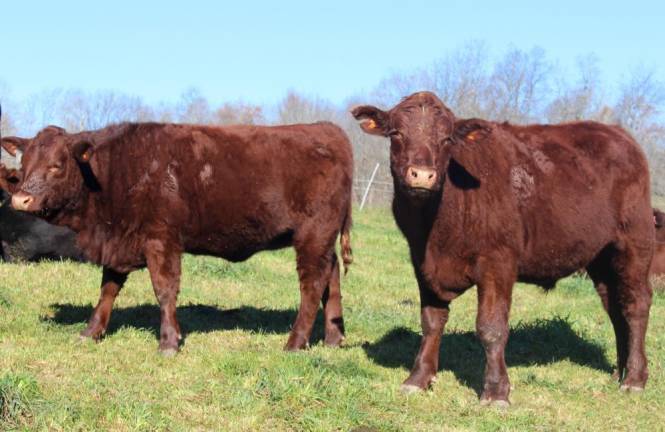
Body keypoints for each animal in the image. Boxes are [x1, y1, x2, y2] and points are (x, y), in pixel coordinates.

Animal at [2, 120, 352, 354]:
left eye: (57, 165)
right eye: (24, 162)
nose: (20, 199)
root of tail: (327, 128)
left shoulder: (162, 240)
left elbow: (165, 290)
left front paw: (169, 342)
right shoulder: (120, 242)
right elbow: (108, 289)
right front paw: (91, 332)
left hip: (313, 236)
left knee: (312, 285)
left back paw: (295, 342)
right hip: (322, 241)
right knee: (331, 277)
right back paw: (333, 339)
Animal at [352, 90, 652, 404]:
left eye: (447, 139)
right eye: (397, 133)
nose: (422, 175)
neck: (435, 228)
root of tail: (619, 133)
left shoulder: (498, 262)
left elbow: (491, 327)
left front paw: (496, 392)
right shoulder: (422, 262)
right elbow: (432, 321)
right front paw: (418, 378)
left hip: (634, 244)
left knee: (636, 305)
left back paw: (634, 378)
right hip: (601, 258)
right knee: (615, 307)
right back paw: (618, 372)